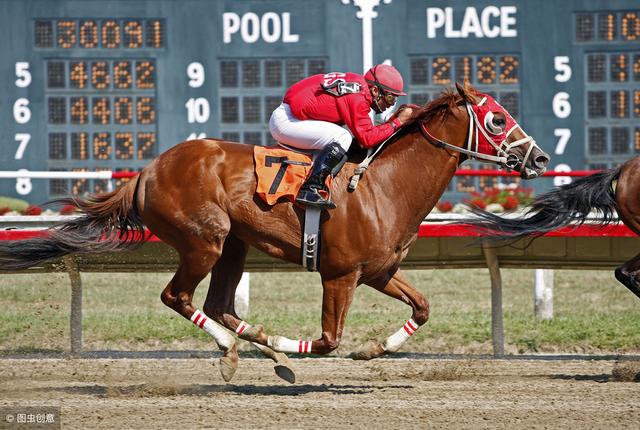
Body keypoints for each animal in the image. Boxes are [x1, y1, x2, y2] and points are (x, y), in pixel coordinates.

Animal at [0, 82, 549, 382]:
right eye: (496, 119)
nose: (540, 158)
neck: (383, 187)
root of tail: (148, 171)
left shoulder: (379, 271)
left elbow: (423, 307)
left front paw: (373, 349)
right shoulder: (340, 275)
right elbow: (327, 341)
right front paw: (294, 350)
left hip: (234, 246)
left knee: (219, 304)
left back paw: (251, 345)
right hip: (205, 240)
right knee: (179, 297)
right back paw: (234, 351)